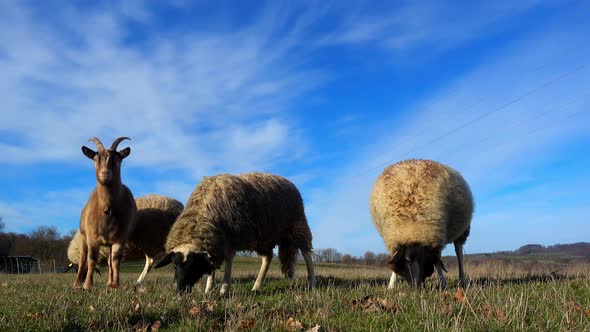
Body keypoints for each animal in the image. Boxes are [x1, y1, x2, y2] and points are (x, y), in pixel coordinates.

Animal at [73, 136, 138, 290]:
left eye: (117, 158)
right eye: (96, 158)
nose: (105, 173)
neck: (107, 209)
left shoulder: (121, 237)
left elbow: (115, 261)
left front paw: (115, 285)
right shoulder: (92, 236)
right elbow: (91, 260)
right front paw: (87, 285)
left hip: (109, 242)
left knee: (109, 262)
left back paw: (109, 282)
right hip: (83, 237)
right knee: (83, 260)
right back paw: (77, 283)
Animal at [155, 172, 316, 294]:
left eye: (194, 265)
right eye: (174, 265)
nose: (180, 292)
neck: (202, 213)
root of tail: (289, 182)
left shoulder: (229, 240)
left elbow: (227, 262)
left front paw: (223, 290)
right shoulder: (215, 242)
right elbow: (212, 267)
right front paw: (208, 289)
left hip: (298, 226)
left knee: (307, 254)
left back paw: (311, 281)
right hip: (262, 238)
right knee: (268, 257)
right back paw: (256, 286)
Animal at [372, 159, 474, 288]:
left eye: (426, 263)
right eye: (407, 260)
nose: (416, 287)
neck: (412, 226)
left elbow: (438, 262)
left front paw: (443, 283)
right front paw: (391, 285)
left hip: (461, 231)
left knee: (458, 252)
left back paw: (461, 280)